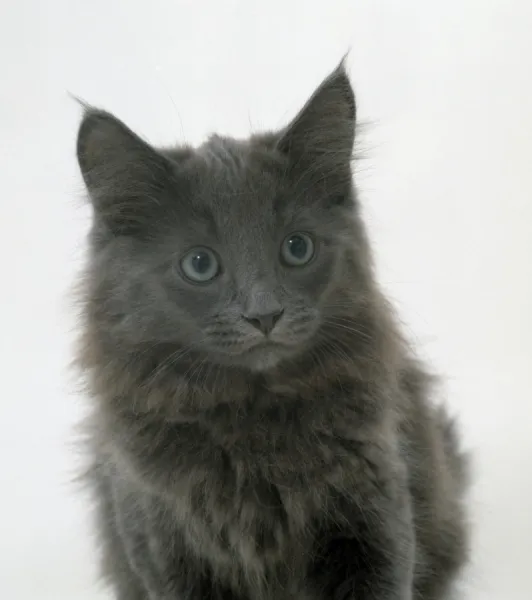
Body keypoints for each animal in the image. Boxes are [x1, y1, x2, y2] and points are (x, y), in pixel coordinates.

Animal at [76, 62, 470, 600]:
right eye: (199, 264)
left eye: (297, 248)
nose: (264, 314)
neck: (253, 427)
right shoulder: (159, 536)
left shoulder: (375, 513)